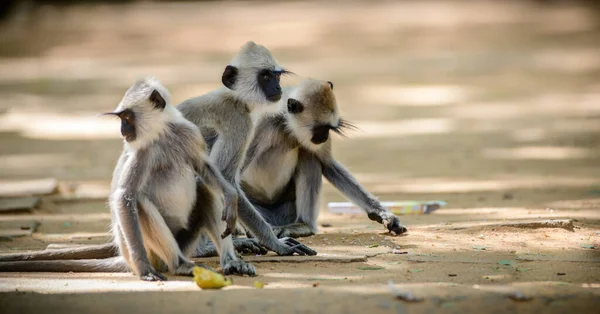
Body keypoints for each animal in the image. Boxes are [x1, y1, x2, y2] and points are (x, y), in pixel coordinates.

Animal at [0, 78, 255, 280]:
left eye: (127, 117)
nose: (123, 130)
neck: (162, 135)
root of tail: (123, 257)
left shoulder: (187, 132)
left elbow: (204, 168)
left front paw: (230, 196)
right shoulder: (142, 150)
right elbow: (125, 196)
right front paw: (144, 269)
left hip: (185, 239)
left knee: (205, 189)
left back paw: (230, 261)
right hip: (156, 253)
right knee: (140, 202)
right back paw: (179, 265)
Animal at [177, 41, 316, 258]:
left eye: (277, 76)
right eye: (265, 77)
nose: (278, 88)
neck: (235, 98)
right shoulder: (240, 121)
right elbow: (224, 180)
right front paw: (278, 244)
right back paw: (203, 250)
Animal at [239, 78, 408, 238]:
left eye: (330, 129)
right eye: (321, 129)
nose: (326, 137)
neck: (285, 126)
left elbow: (328, 165)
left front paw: (382, 213)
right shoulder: (261, 126)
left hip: (287, 209)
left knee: (308, 155)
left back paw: (304, 225)